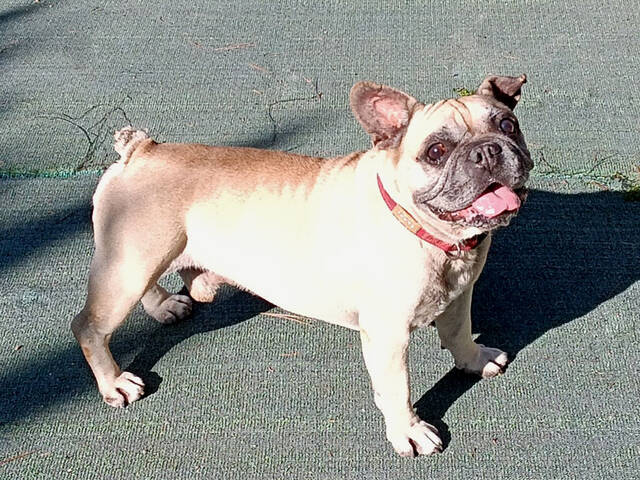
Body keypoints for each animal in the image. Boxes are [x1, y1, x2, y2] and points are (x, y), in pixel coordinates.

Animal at [72, 74, 532, 457]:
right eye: (436, 151)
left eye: (508, 126)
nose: (488, 151)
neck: (433, 236)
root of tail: (139, 150)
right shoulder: (387, 337)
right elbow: (397, 389)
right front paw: (409, 430)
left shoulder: (459, 296)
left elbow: (457, 334)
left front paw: (473, 359)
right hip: (128, 267)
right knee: (90, 327)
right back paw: (114, 382)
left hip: (140, 258)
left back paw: (165, 306)